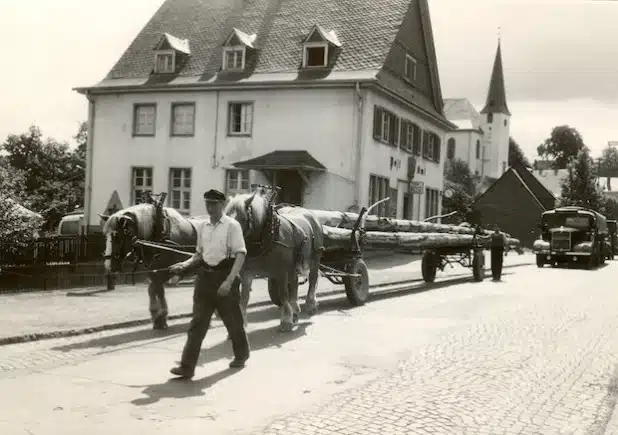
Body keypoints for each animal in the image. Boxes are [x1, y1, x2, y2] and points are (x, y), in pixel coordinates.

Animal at [98, 195, 208, 330]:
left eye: (117, 236)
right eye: (105, 235)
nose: (108, 266)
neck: (159, 231)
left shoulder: (166, 271)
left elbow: (155, 288)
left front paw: (160, 315)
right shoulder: (153, 271)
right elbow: (155, 290)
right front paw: (158, 317)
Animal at [224, 188, 324, 334]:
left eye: (242, 218)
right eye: (225, 216)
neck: (268, 233)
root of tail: (310, 213)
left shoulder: (280, 271)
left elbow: (283, 294)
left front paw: (286, 320)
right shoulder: (247, 273)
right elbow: (244, 298)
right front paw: (242, 324)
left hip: (315, 257)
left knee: (313, 278)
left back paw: (310, 304)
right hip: (292, 264)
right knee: (294, 282)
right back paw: (295, 309)